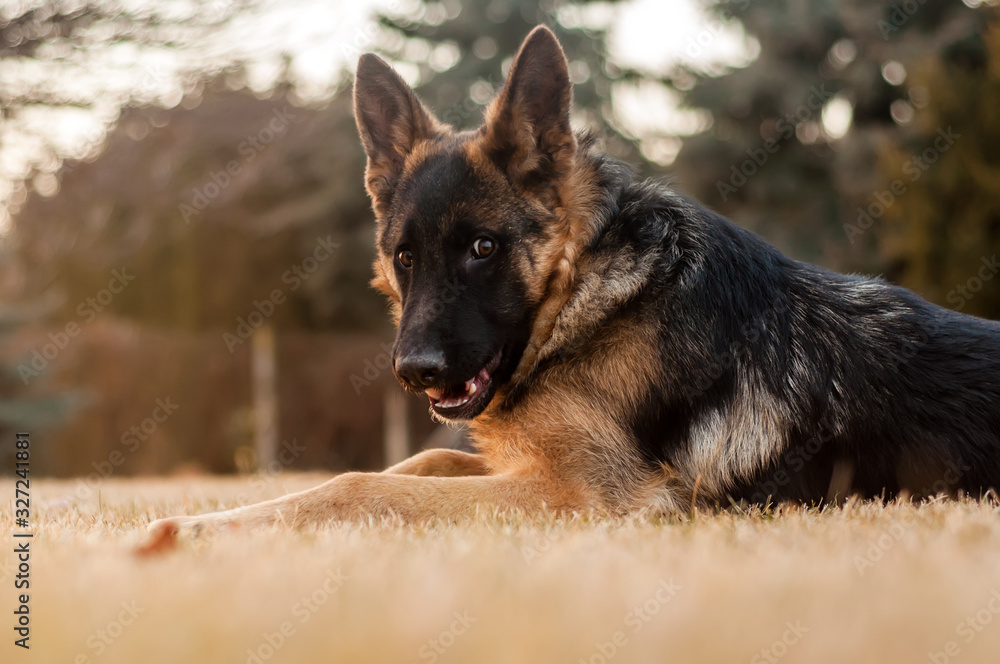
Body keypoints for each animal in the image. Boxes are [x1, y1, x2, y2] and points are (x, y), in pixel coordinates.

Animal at [146, 24, 1000, 544]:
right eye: (405, 256)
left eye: (483, 247)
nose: (413, 371)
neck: (589, 295)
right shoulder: (523, 468)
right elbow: (412, 466)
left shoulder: (579, 495)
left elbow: (358, 486)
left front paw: (190, 530)